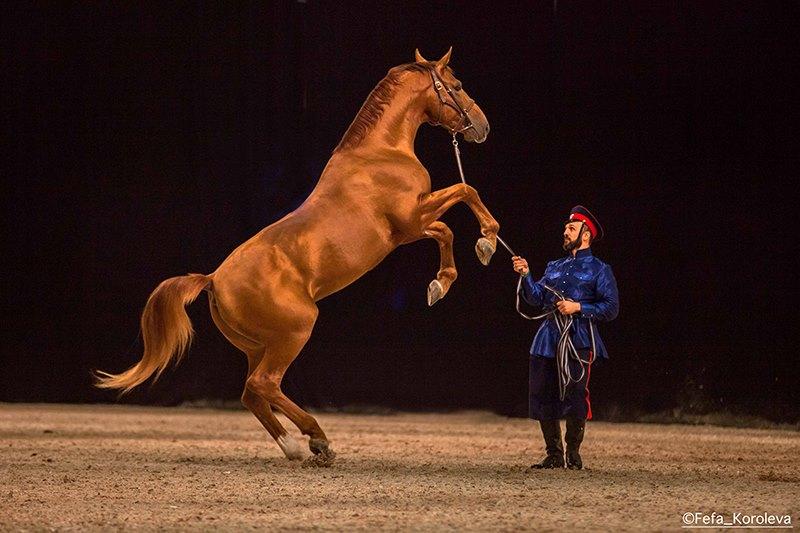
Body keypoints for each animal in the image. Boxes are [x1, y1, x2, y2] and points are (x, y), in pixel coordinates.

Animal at [95, 48, 500, 464]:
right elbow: (462, 198)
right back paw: (317, 439)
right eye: (457, 86)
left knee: (252, 393)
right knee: (264, 385)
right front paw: (476, 252)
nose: (482, 126)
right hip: (295, 331)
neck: (380, 155)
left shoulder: (412, 226)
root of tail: (213, 280)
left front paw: (447, 277)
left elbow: (454, 213)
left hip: (260, 346)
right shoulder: (410, 222)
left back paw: (293, 446)